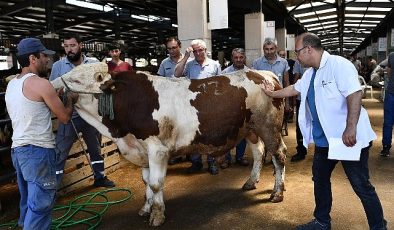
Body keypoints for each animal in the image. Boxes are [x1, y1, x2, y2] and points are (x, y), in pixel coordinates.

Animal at [51, 62, 286, 226]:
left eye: (76, 80)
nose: (51, 84)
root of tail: (264, 73)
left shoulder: (157, 150)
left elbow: (156, 183)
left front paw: (157, 215)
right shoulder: (142, 150)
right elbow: (146, 182)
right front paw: (146, 208)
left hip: (269, 127)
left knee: (279, 155)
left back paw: (277, 192)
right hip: (250, 130)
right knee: (259, 152)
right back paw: (251, 181)